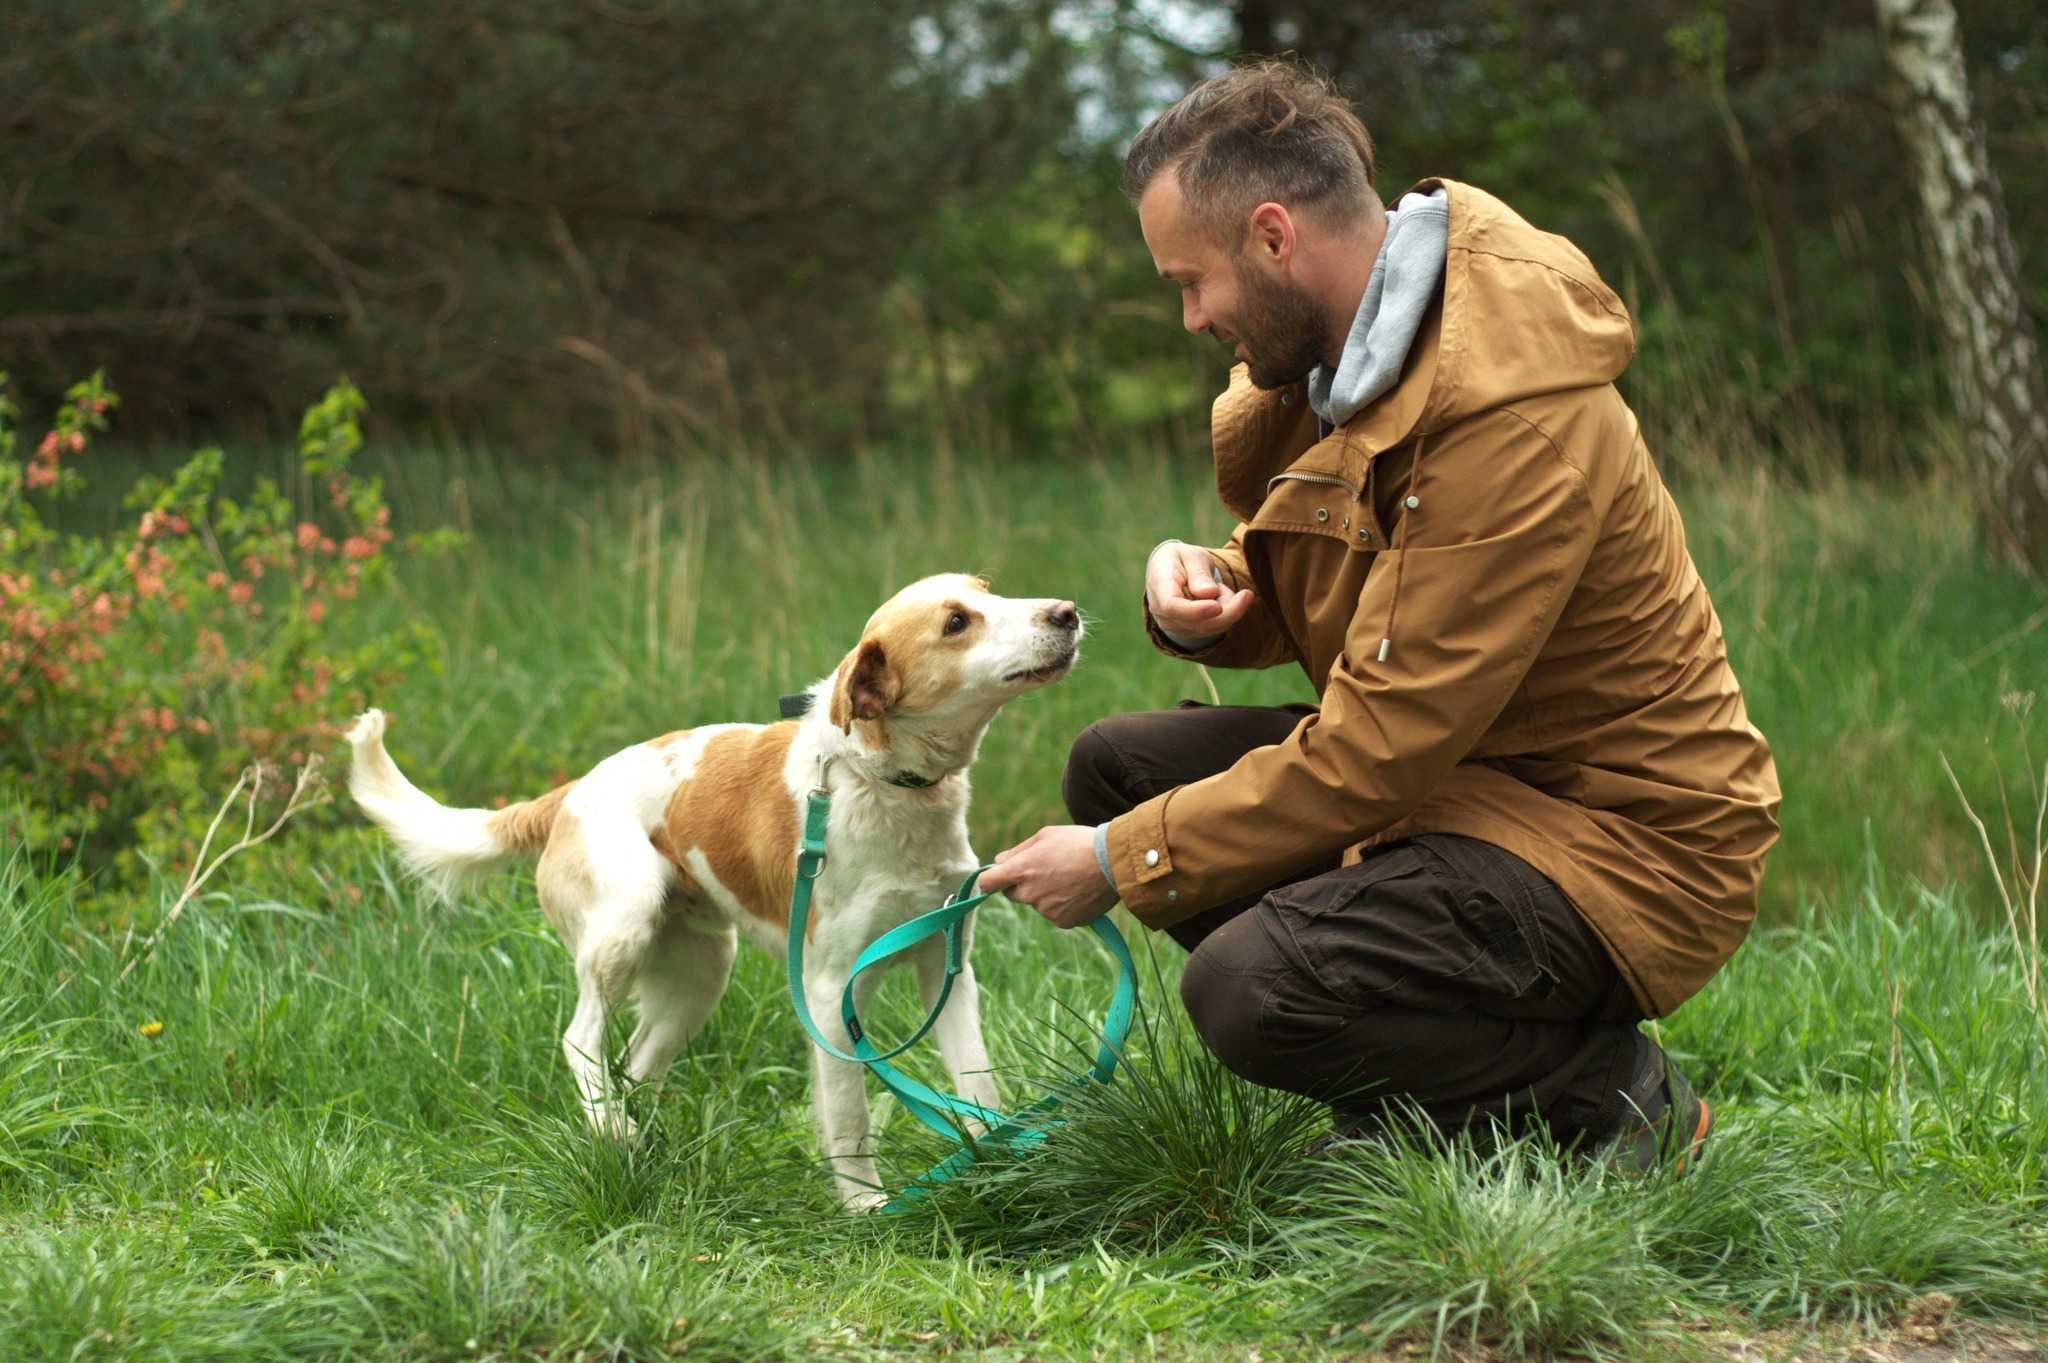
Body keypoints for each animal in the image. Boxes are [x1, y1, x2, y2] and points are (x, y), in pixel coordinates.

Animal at [344, 568, 1081, 1203]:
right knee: (581, 1043)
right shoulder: (827, 993)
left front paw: (995, 1168)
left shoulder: (945, 969)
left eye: (991, 590)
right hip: (625, 925)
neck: (884, 784)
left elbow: (976, 1087)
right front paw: (867, 1207)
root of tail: (569, 794)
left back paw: (638, 1151)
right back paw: (615, 1132)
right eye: (956, 622)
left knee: (635, 1064)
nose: (1067, 611)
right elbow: (850, 1117)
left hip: (700, 973)